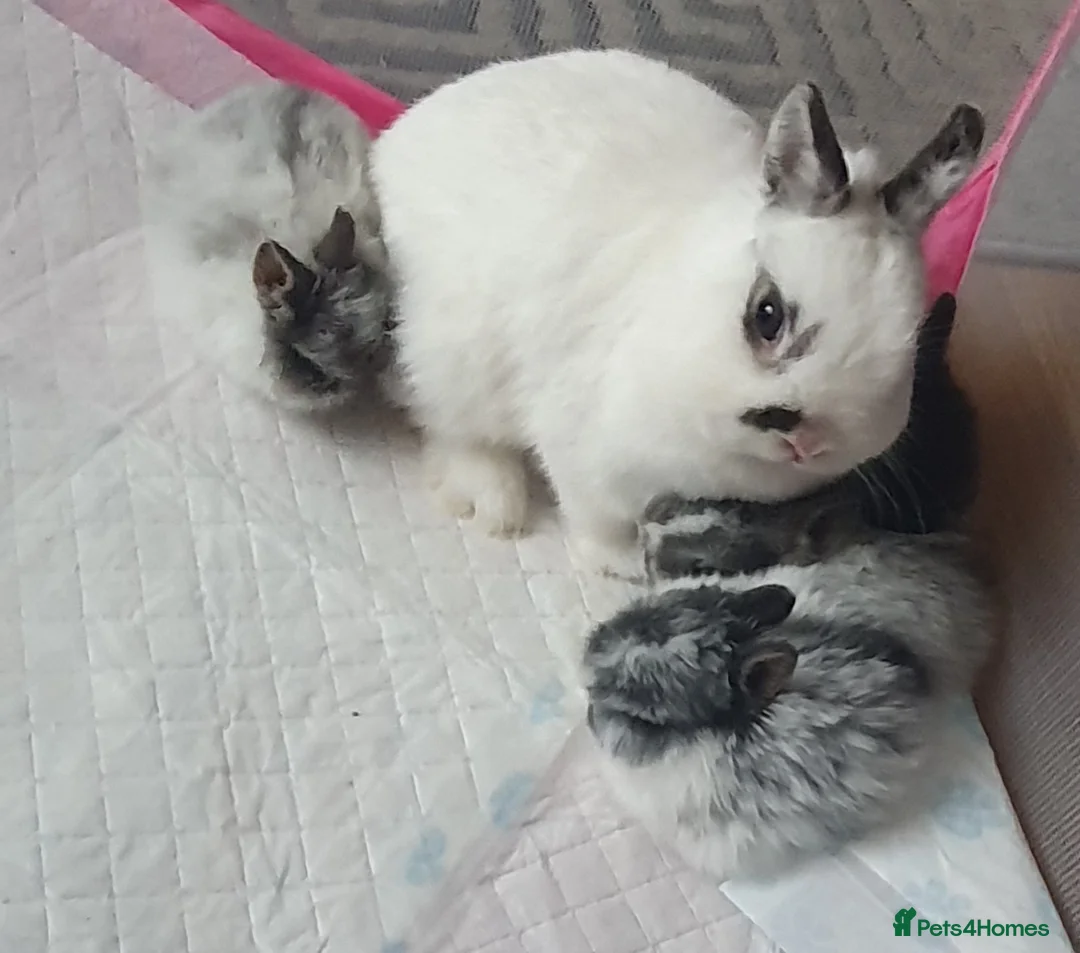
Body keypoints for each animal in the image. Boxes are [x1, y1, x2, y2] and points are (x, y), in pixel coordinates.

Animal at [370, 48, 985, 576]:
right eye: (766, 314)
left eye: (911, 347)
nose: (807, 441)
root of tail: (389, 151)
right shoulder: (584, 455)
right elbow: (599, 521)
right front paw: (622, 567)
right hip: (447, 363)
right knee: (447, 427)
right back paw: (495, 504)